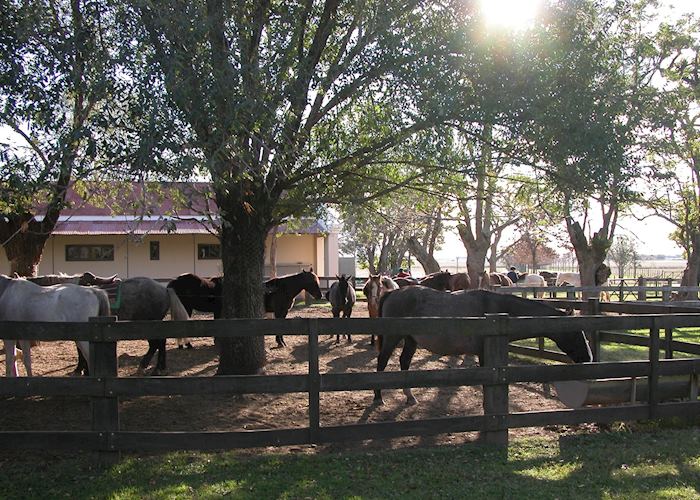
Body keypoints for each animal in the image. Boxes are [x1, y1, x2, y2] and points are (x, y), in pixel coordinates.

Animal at [374, 286, 592, 406]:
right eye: (575, 332)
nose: (588, 358)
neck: (499, 310)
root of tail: (393, 292)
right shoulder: (485, 355)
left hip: (411, 339)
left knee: (404, 362)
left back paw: (410, 397)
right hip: (393, 337)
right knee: (382, 362)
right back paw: (378, 398)